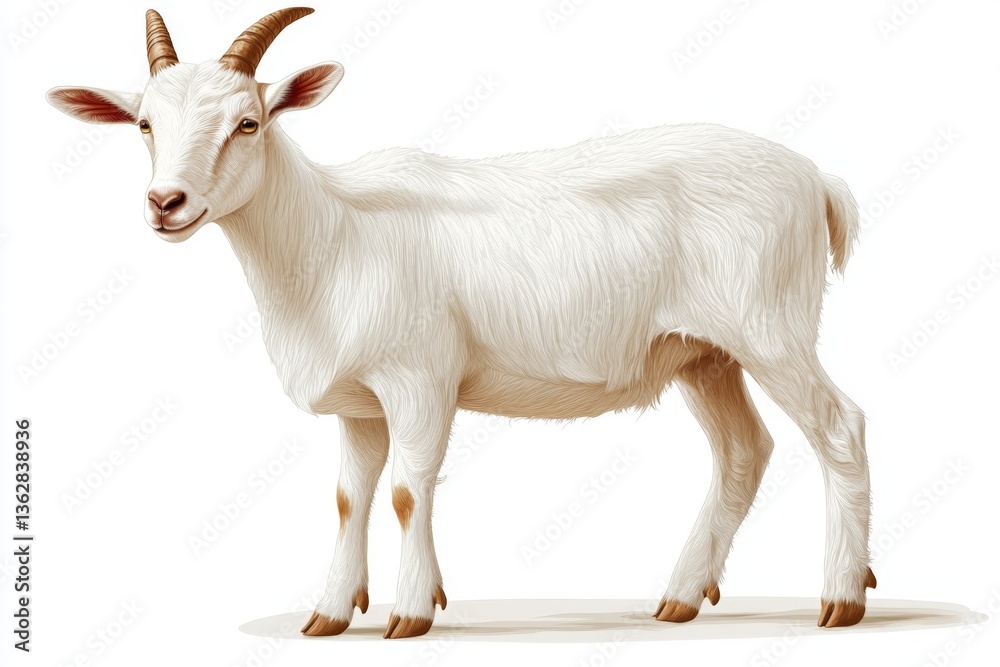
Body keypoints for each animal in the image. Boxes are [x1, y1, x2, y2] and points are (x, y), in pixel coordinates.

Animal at [47, 7, 874, 638]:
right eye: (143, 123)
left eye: (248, 122)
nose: (166, 203)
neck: (333, 235)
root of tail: (816, 179)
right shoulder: (360, 402)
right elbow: (349, 495)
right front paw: (329, 613)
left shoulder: (420, 376)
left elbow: (408, 490)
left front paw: (411, 613)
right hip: (702, 351)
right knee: (743, 451)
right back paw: (678, 597)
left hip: (770, 327)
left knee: (839, 427)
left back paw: (841, 596)